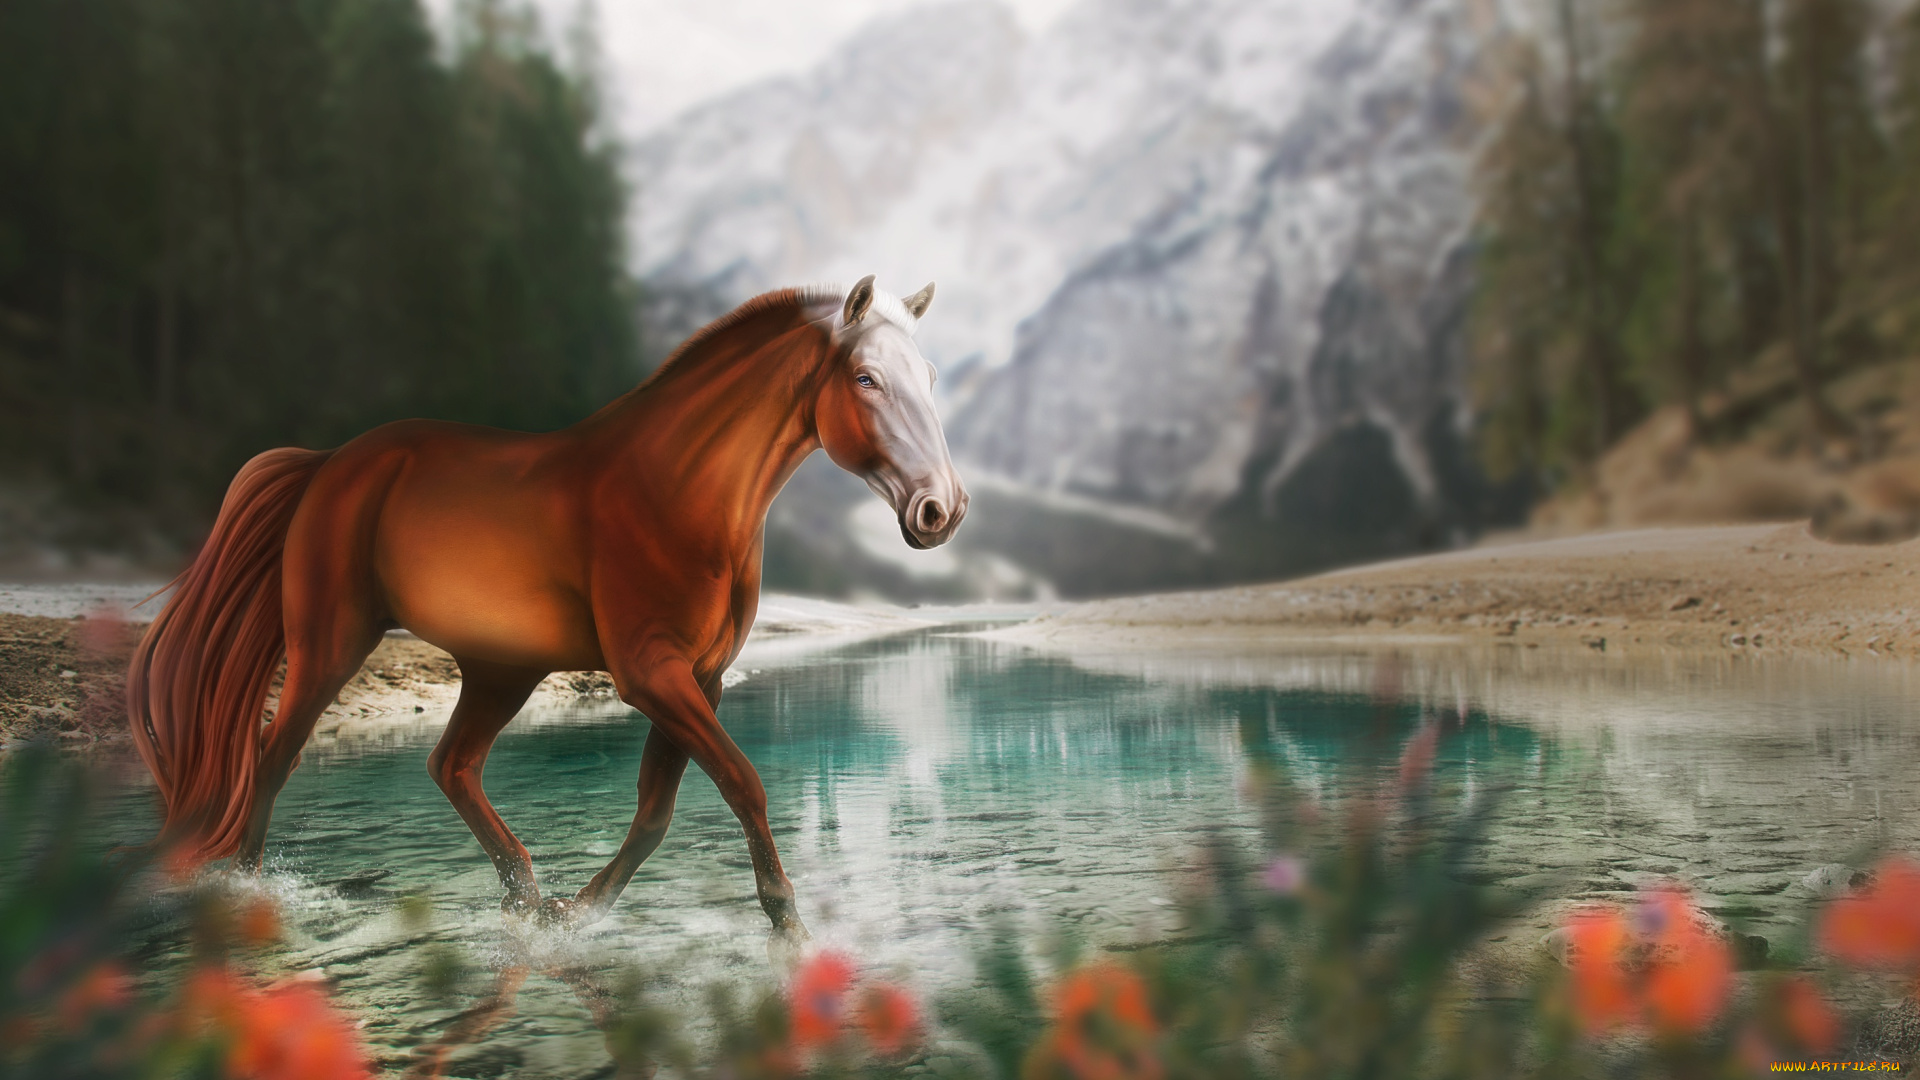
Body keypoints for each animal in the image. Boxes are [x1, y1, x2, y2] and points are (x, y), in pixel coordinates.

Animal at [126, 276, 967, 952]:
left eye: (927, 375)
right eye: (865, 378)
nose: (942, 511)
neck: (677, 489)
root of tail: (328, 463)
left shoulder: (701, 679)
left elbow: (656, 810)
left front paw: (577, 912)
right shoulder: (651, 675)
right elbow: (742, 782)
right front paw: (787, 923)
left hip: (502, 671)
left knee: (451, 765)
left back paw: (526, 899)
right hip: (330, 646)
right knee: (274, 759)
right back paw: (249, 892)